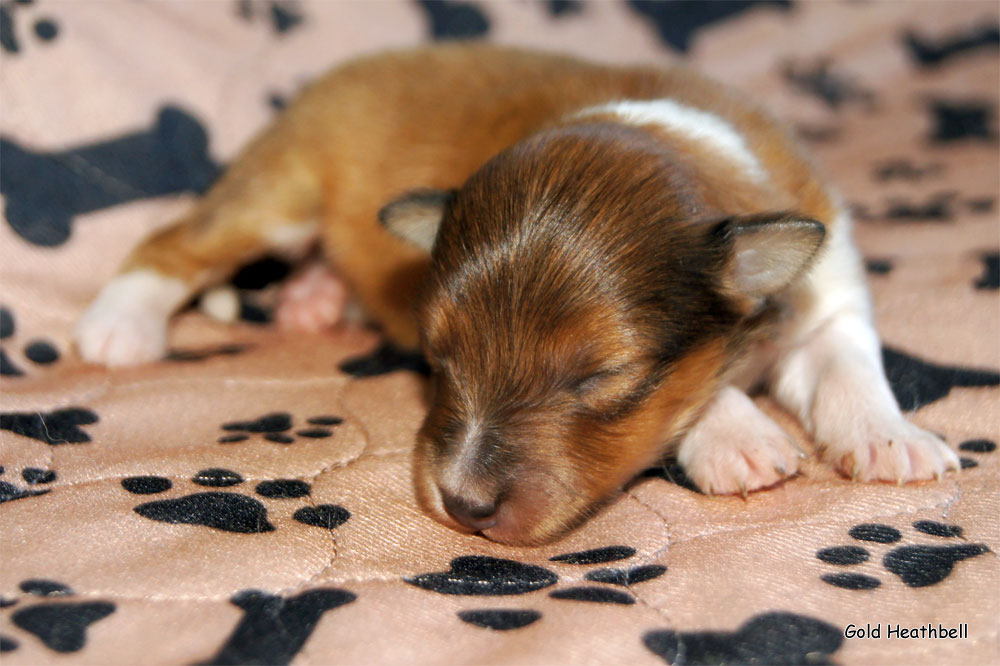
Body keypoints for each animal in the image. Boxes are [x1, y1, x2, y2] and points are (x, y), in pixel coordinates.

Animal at [74, 44, 956, 544]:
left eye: (596, 377)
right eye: (435, 358)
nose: (462, 504)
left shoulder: (829, 287)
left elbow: (848, 360)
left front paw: (892, 438)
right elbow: (701, 394)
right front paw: (739, 436)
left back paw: (315, 299)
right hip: (279, 194)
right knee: (173, 242)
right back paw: (118, 327)